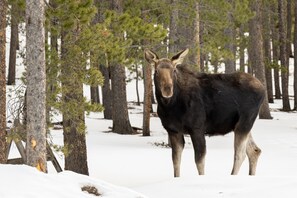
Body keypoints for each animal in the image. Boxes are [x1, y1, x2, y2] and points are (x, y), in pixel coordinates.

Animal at [145, 48, 262, 177]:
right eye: (156, 71)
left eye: (174, 70)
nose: (167, 89)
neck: (170, 106)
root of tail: (263, 89)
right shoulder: (173, 131)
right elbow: (175, 161)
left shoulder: (197, 128)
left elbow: (199, 161)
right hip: (240, 125)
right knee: (254, 150)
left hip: (245, 122)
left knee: (240, 154)